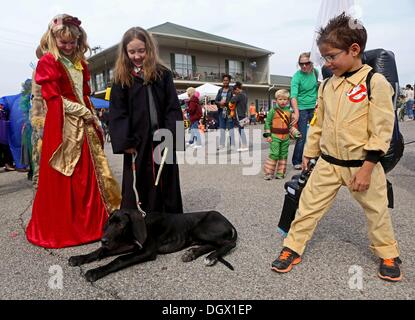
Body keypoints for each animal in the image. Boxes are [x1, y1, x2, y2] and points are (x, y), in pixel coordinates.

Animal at [67, 209, 237, 282]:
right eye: (109, 223)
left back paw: (211, 257)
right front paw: (79, 258)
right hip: (196, 234)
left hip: (201, 229)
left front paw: (95, 272)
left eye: (121, 225)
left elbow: (119, 259)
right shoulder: (127, 244)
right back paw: (192, 253)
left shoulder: (147, 251)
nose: (103, 239)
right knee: (211, 244)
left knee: (229, 243)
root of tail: (228, 221)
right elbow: (100, 251)